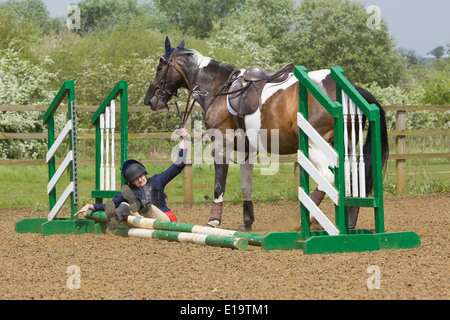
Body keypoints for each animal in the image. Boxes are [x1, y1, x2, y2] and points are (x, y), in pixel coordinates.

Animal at [143, 37, 386, 232]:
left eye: (159, 67)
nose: (150, 100)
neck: (220, 88)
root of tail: (352, 88)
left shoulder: (221, 146)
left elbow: (219, 186)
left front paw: (213, 220)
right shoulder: (246, 151)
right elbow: (246, 187)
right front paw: (247, 221)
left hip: (316, 146)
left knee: (329, 177)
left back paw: (305, 217)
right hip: (348, 146)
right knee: (351, 178)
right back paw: (349, 222)